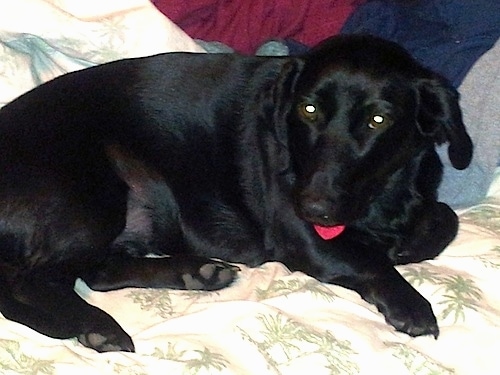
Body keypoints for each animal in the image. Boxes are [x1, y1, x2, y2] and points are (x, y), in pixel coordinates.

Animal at [0, 35, 472, 352]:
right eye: (308, 109)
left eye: (378, 119)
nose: (314, 209)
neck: (380, 198)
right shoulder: (303, 238)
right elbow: (369, 260)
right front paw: (409, 303)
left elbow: (444, 219)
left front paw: (408, 242)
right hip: (91, 201)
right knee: (36, 281)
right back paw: (99, 326)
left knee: (98, 271)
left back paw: (195, 272)